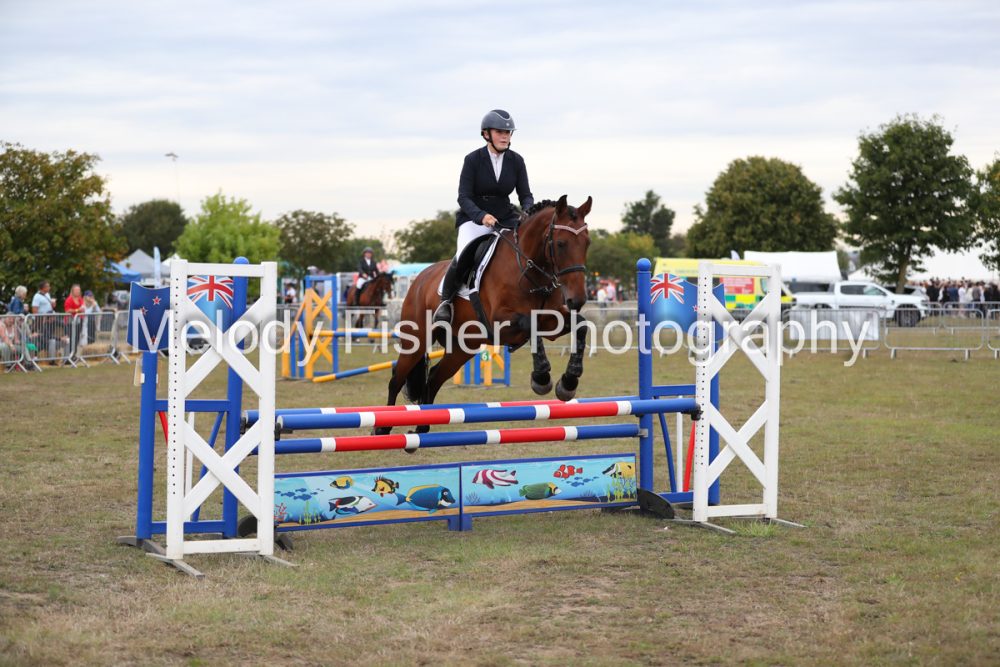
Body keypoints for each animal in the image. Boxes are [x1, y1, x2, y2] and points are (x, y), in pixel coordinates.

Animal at [377, 195, 592, 436]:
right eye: (561, 244)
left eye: (587, 243)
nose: (577, 300)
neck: (528, 269)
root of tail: (419, 279)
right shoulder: (501, 322)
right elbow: (530, 324)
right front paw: (542, 378)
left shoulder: (551, 321)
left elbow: (581, 325)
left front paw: (568, 382)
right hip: (416, 340)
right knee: (396, 378)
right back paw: (382, 429)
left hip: (463, 348)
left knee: (433, 378)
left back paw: (422, 428)